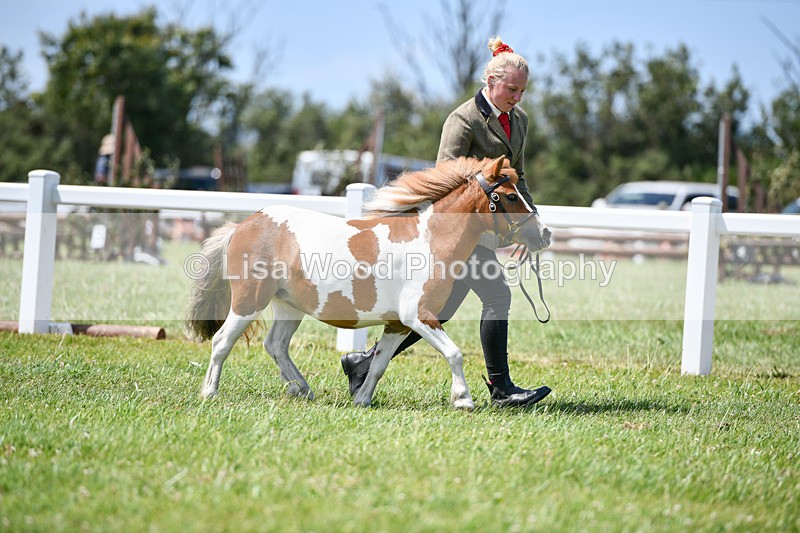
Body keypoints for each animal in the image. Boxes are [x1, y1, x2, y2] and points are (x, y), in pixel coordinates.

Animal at [185, 155, 551, 410]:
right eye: (510, 196)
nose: (544, 234)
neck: (431, 241)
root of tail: (243, 225)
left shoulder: (398, 324)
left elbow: (379, 364)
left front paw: (362, 399)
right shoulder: (419, 316)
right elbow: (455, 353)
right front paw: (463, 399)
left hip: (289, 306)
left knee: (275, 345)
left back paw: (302, 389)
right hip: (248, 301)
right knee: (222, 342)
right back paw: (209, 393)